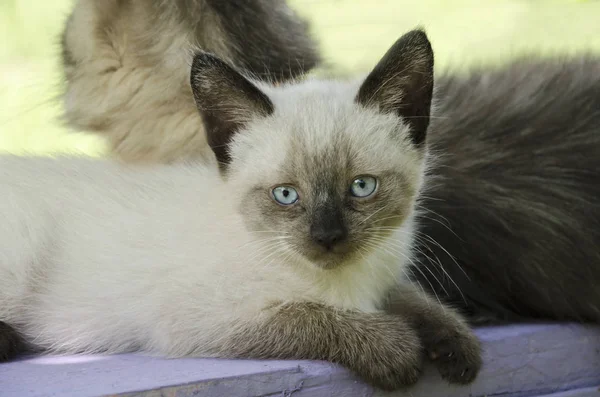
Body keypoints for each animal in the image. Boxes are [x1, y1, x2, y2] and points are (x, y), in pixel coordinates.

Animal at [0, 31, 482, 390]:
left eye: (361, 187)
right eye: (285, 195)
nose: (327, 238)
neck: (346, 283)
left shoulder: (382, 276)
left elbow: (413, 298)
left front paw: (456, 346)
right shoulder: (203, 320)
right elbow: (309, 316)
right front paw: (396, 350)